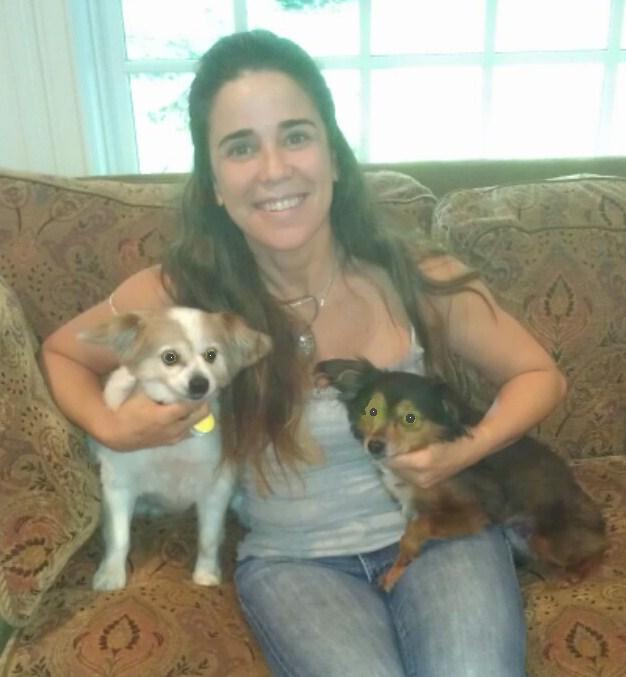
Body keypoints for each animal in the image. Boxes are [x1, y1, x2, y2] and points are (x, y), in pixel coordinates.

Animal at [81, 307, 271, 591]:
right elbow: (119, 537)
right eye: (169, 357)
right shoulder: (119, 487)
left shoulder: (216, 487)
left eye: (211, 355)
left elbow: (209, 537)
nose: (200, 383)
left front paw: (206, 573)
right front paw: (111, 574)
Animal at [316, 358, 608, 591]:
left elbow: (417, 528)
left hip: (545, 537)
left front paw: (405, 553)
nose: (374, 445)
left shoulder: (473, 511)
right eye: (372, 411)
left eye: (410, 418)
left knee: (601, 547)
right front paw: (396, 571)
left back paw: (579, 571)